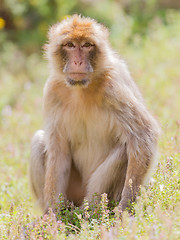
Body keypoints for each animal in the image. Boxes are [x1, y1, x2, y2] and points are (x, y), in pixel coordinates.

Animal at [29, 15, 159, 214]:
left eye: (87, 45)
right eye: (70, 45)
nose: (77, 62)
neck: (81, 89)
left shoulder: (113, 88)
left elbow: (144, 136)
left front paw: (124, 211)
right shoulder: (52, 91)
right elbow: (58, 150)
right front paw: (52, 217)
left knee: (125, 149)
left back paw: (90, 212)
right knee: (39, 141)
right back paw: (66, 213)